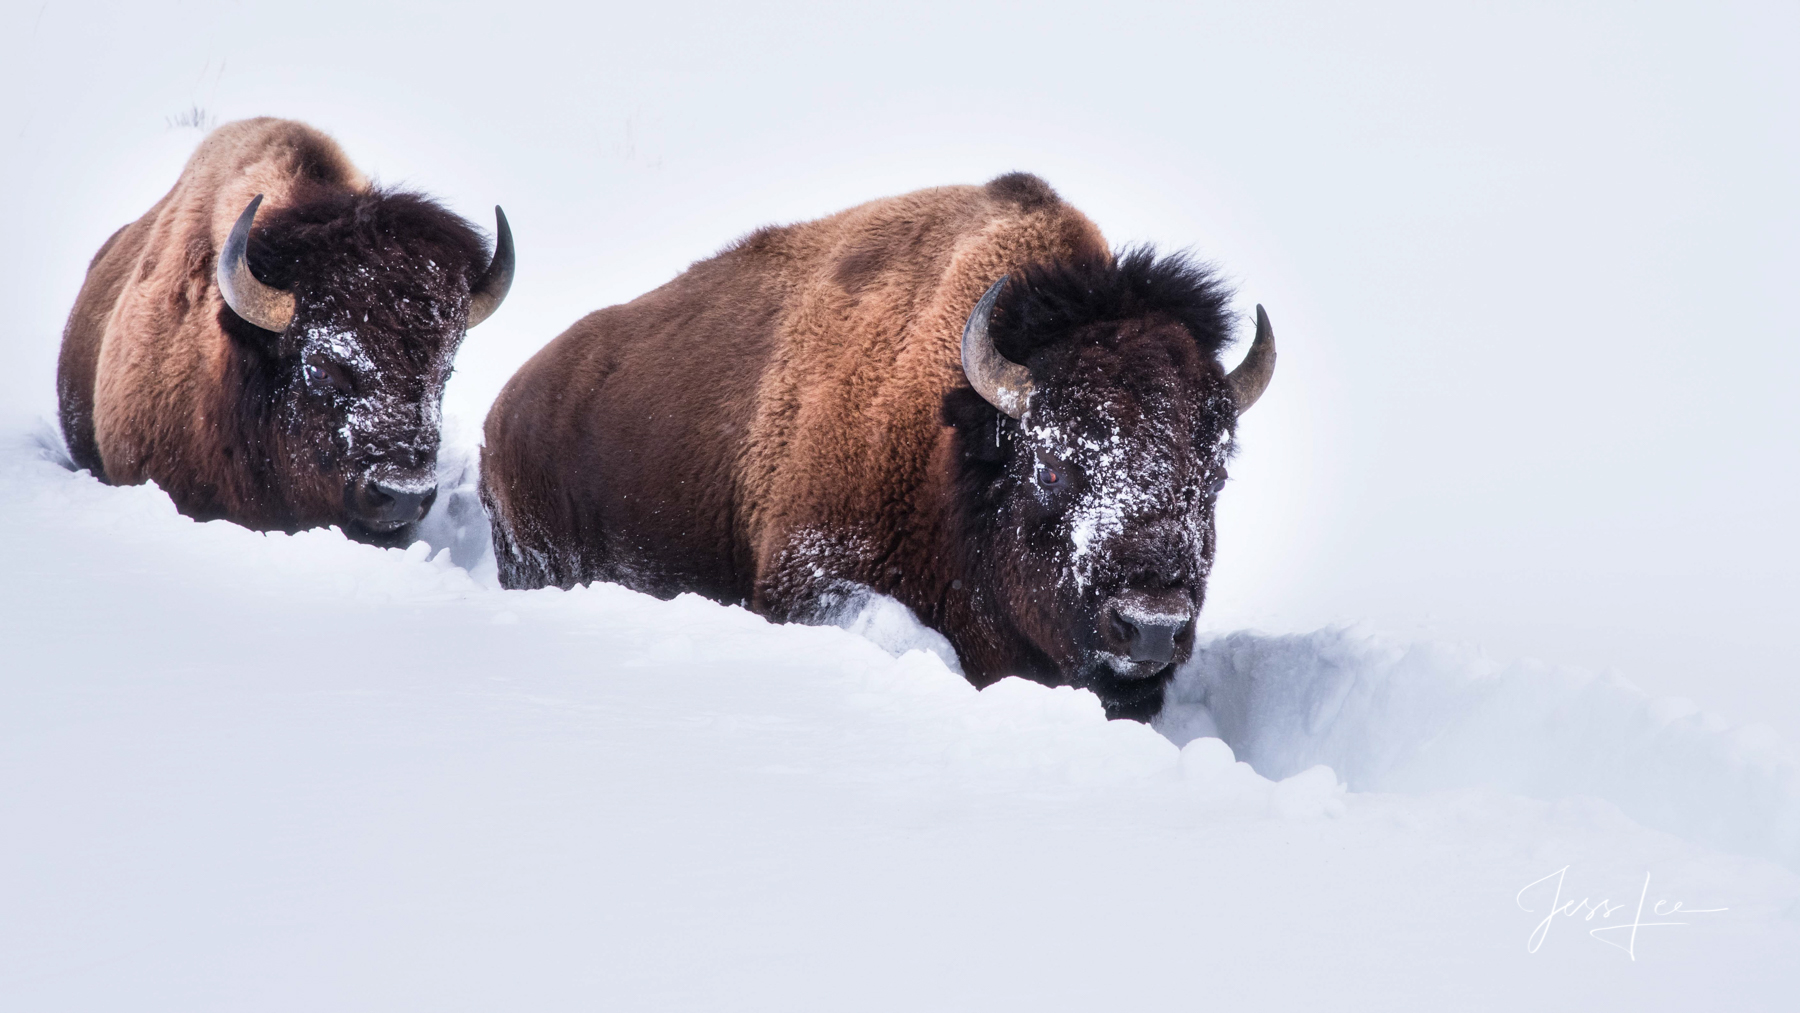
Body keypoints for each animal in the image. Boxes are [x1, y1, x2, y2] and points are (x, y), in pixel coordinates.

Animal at [478, 174, 1267, 716]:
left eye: (1214, 477)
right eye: (1049, 466)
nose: (1152, 625)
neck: (953, 451)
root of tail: (504, 409)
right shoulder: (812, 577)